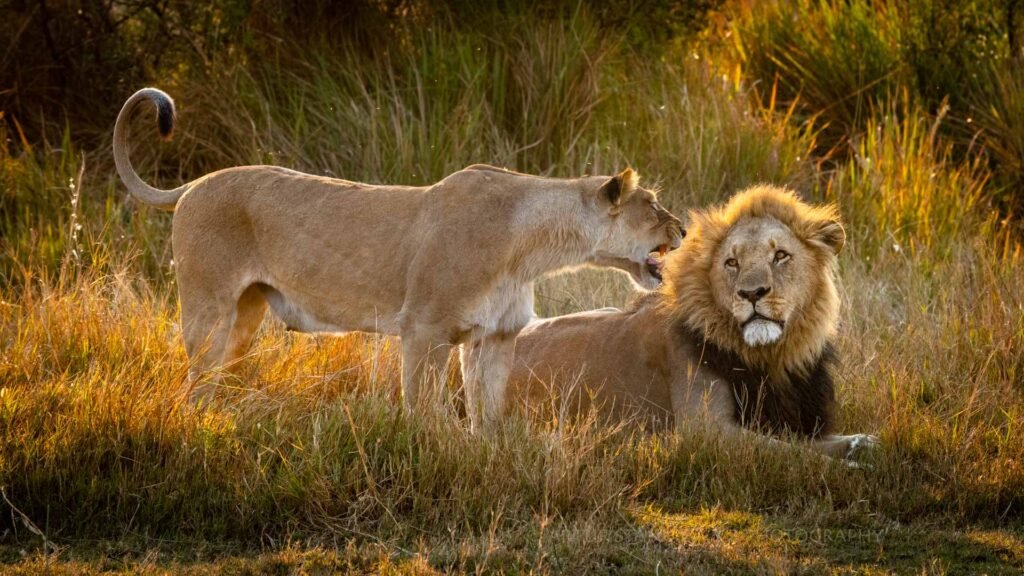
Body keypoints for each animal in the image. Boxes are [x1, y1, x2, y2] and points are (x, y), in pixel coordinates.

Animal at [113, 88, 684, 427]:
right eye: (654, 204)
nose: (683, 228)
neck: (531, 249)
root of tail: (194, 183)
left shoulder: (496, 337)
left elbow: (488, 417)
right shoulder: (424, 329)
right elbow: (423, 412)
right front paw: (429, 457)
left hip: (245, 314)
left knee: (218, 376)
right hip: (207, 308)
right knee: (194, 377)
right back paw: (199, 425)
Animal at [507, 185, 878, 459]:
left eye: (780, 255)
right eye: (732, 262)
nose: (752, 293)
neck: (770, 357)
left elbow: (812, 442)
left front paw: (862, 444)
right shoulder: (706, 430)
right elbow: (794, 453)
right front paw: (845, 468)